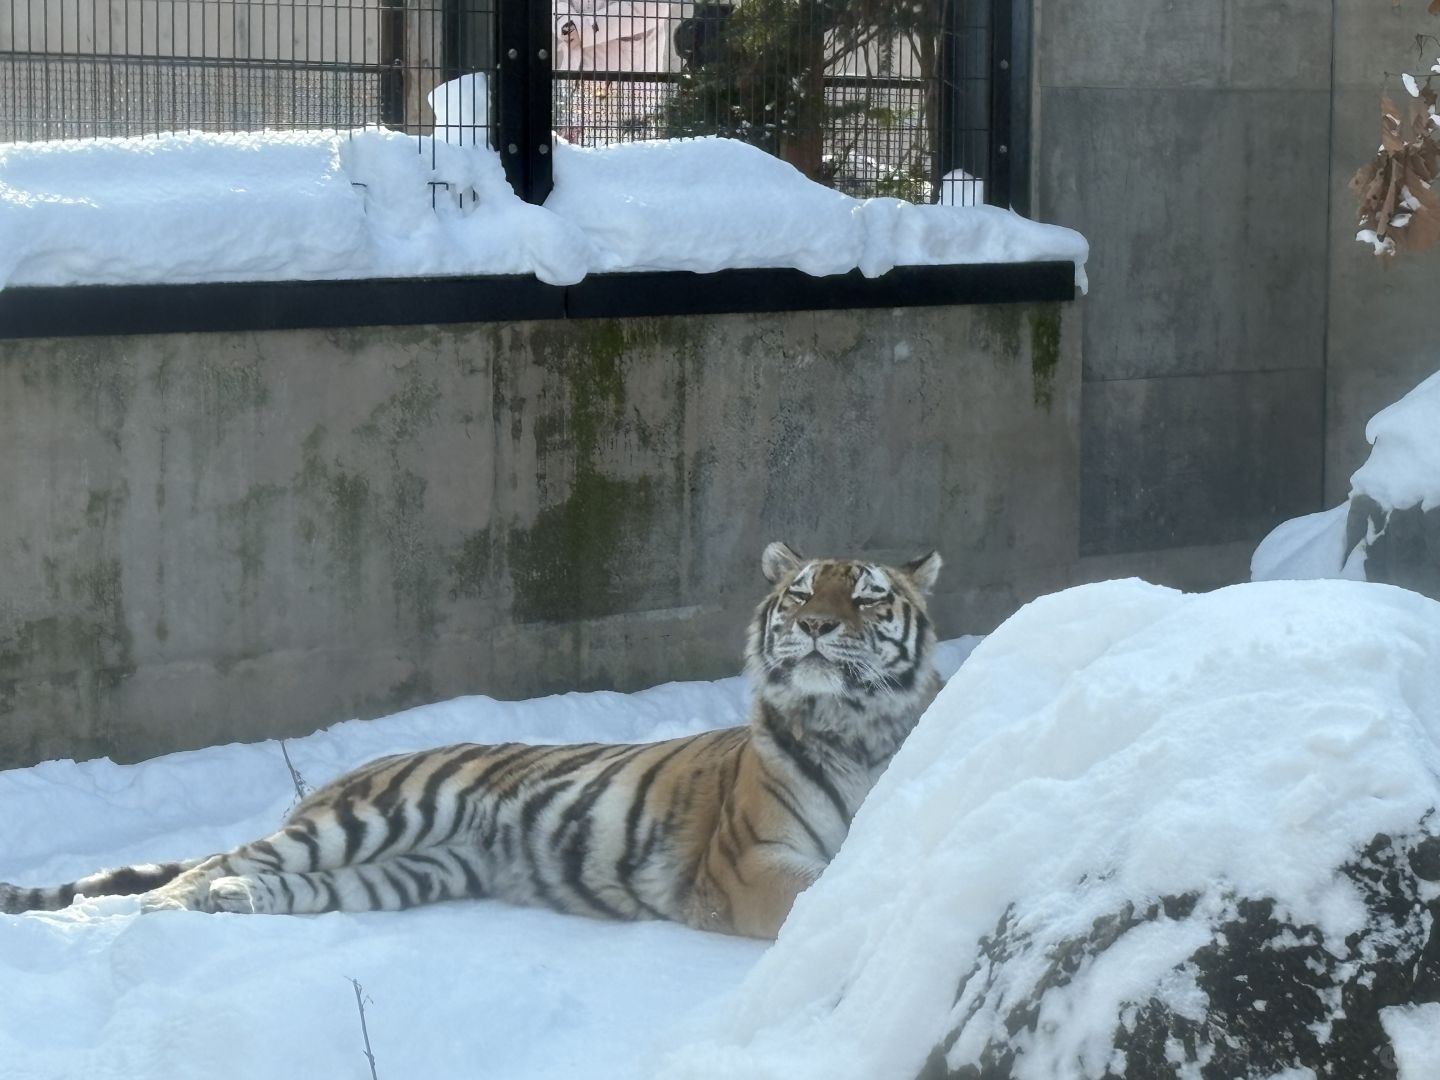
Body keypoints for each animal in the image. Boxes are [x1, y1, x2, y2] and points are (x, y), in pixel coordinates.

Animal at [2, 541, 944, 938]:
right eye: (800, 593)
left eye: (865, 597)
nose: (817, 626)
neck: (858, 731)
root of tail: (335, 782)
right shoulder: (752, 865)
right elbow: (817, 901)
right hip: (374, 819)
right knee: (207, 865)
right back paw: (159, 915)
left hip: (411, 869)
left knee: (282, 883)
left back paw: (231, 904)